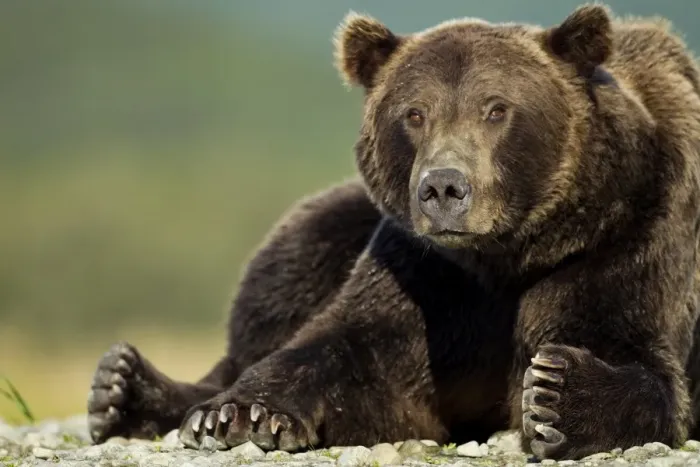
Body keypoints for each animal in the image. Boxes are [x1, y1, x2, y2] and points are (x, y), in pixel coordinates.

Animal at [86, 3, 700, 460]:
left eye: (497, 109)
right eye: (414, 113)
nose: (444, 187)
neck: (506, 255)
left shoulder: (628, 239)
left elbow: (640, 361)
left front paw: (554, 391)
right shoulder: (426, 272)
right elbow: (352, 350)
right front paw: (238, 413)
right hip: (336, 219)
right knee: (285, 273)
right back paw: (122, 388)